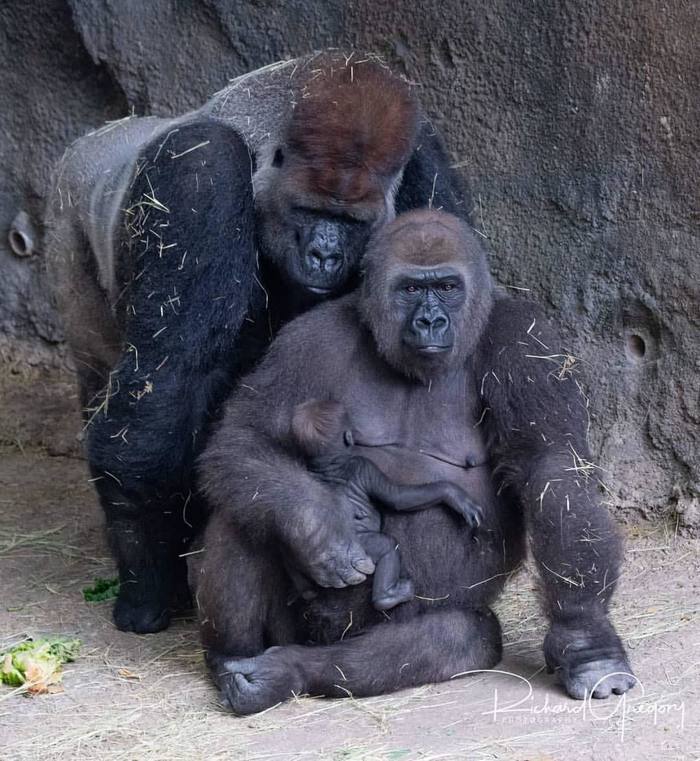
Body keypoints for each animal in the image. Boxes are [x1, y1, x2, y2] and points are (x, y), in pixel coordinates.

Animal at [290, 400, 482, 608]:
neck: (327, 463)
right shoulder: (364, 467)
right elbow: (397, 497)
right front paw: (452, 494)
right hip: (361, 547)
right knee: (388, 548)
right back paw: (387, 596)